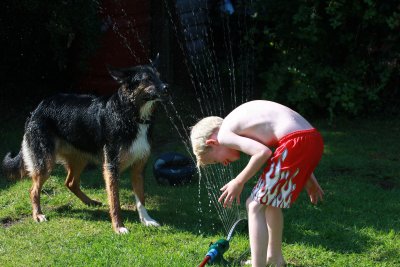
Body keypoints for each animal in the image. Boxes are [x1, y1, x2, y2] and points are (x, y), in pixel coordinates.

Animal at [1, 57, 167, 234]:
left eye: (159, 76)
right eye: (147, 79)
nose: (166, 87)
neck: (130, 115)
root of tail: (38, 108)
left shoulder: (138, 168)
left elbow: (141, 198)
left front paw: (147, 220)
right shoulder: (111, 167)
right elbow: (115, 201)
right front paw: (118, 227)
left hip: (80, 159)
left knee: (70, 183)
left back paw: (90, 202)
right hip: (46, 164)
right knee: (33, 190)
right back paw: (38, 215)